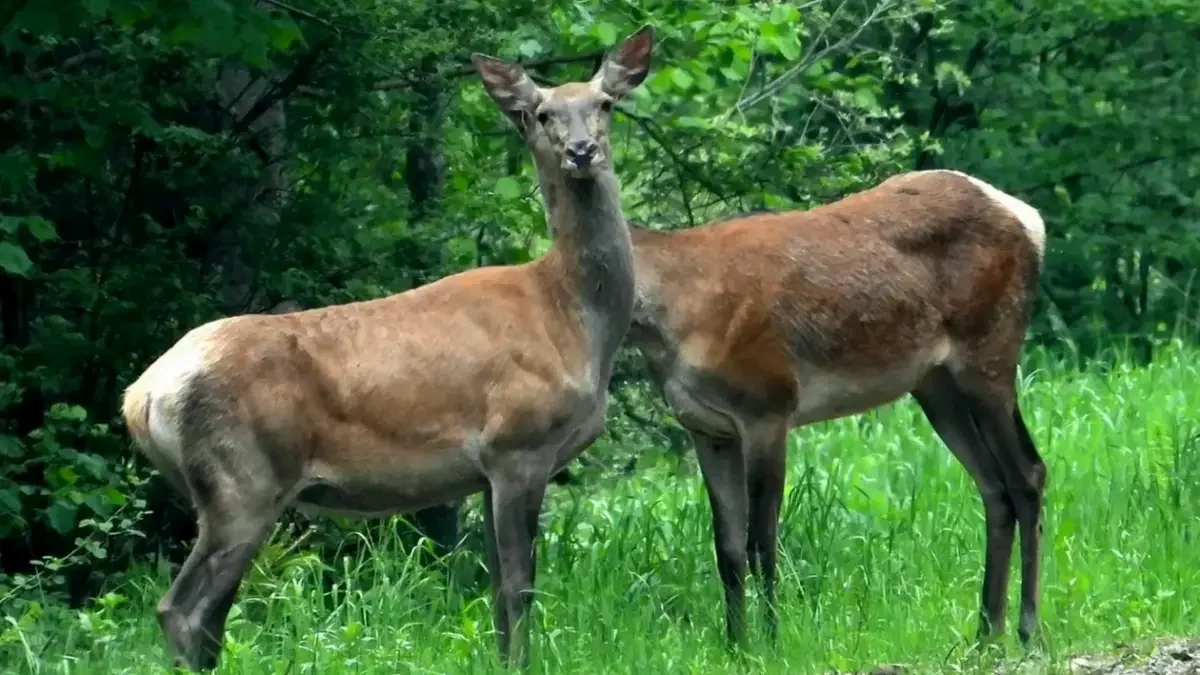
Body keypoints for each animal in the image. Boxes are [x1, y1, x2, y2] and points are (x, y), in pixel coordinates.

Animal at [121, 24, 657, 667]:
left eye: (604, 104)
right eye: (541, 113)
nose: (581, 151)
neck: (575, 320)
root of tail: (141, 396)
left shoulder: (492, 470)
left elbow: (498, 595)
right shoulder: (517, 443)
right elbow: (517, 587)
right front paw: (519, 665)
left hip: (222, 491)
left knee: (207, 615)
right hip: (241, 479)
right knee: (182, 608)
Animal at [628, 166, 1051, 638]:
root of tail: (1031, 219)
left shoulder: (768, 407)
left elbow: (761, 539)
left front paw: (772, 638)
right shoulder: (707, 428)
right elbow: (727, 546)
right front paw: (735, 640)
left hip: (989, 355)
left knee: (1027, 473)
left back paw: (1027, 629)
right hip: (936, 386)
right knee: (994, 485)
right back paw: (986, 632)